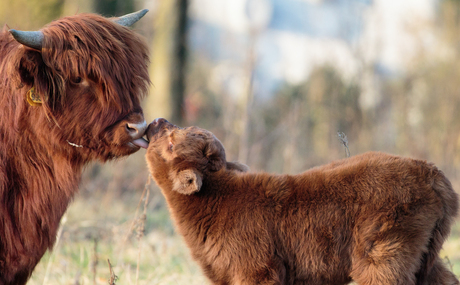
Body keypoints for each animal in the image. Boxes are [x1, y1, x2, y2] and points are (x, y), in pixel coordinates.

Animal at [146, 116, 458, 282]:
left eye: (171, 143)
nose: (157, 121)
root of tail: (436, 176)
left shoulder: (255, 263)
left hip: (386, 239)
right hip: (423, 250)